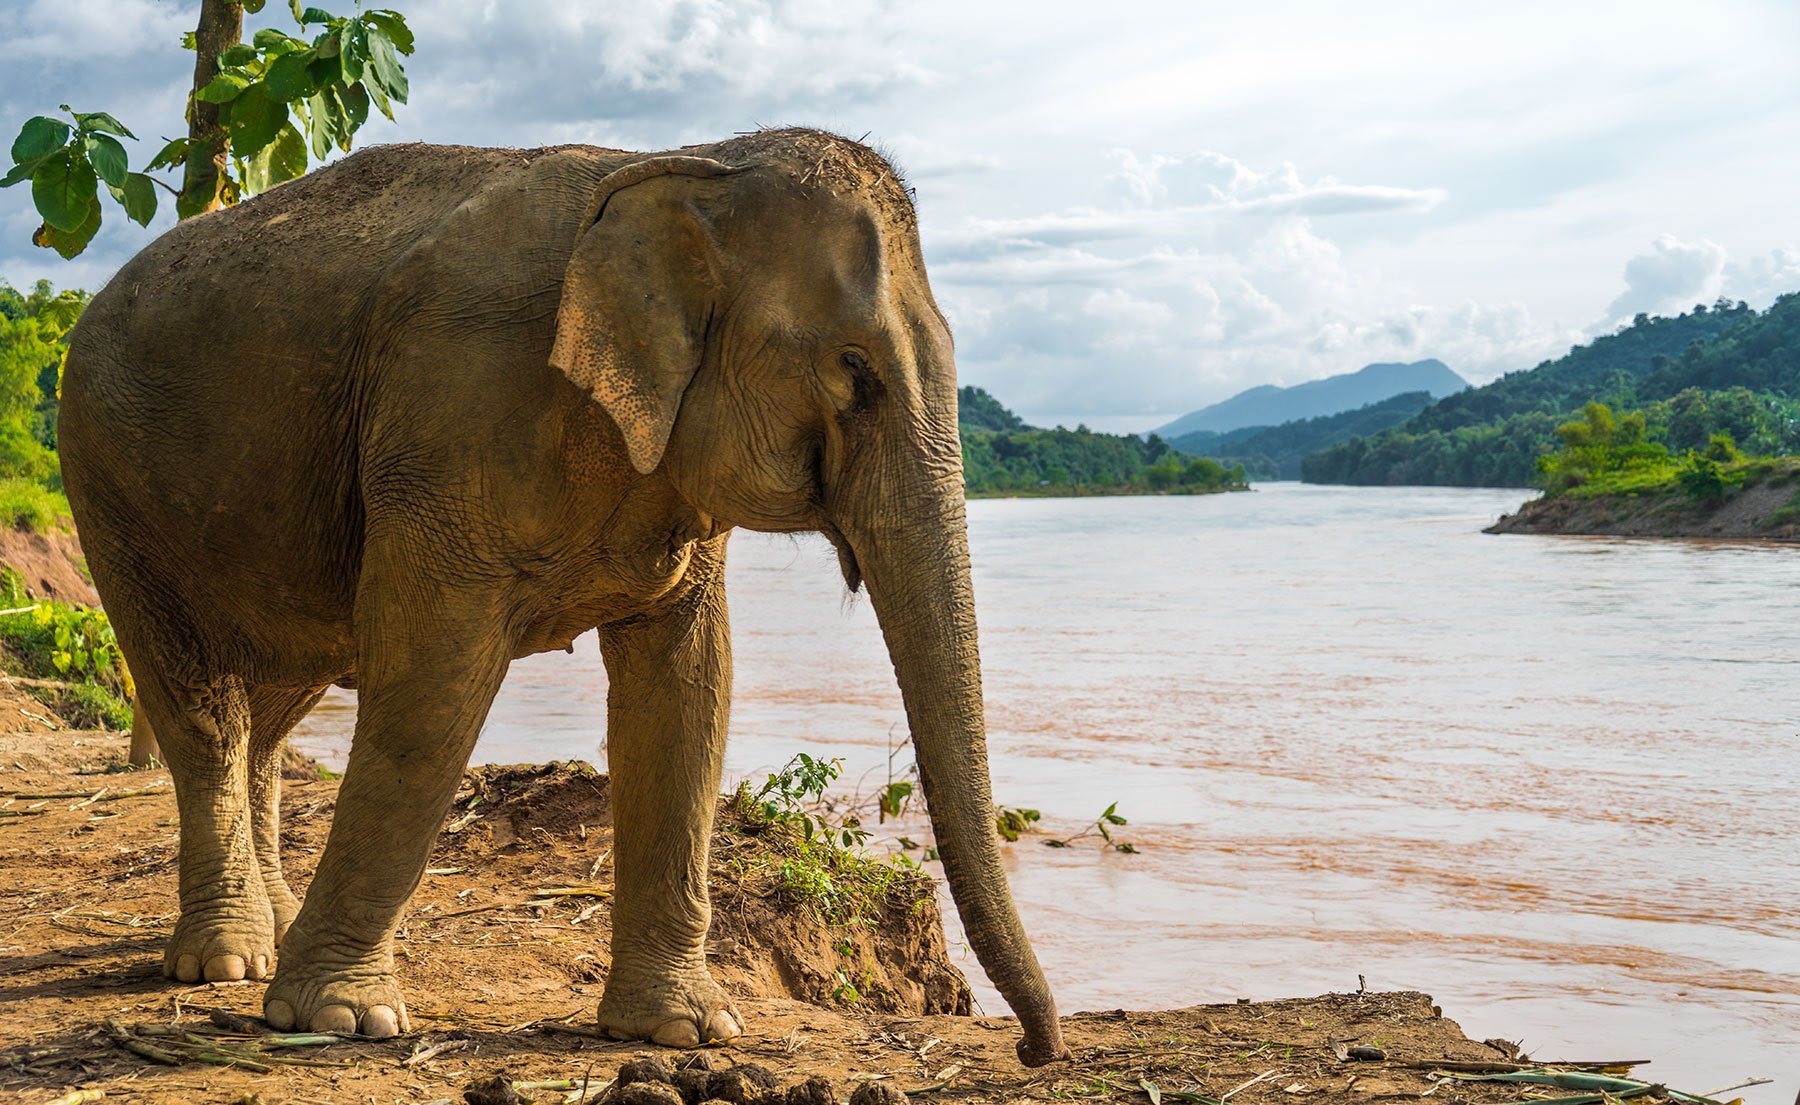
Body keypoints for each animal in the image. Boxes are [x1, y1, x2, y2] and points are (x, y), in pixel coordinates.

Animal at [59, 125, 1065, 1072]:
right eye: (856, 371)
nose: (1033, 1047)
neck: (688, 161)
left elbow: (690, 690)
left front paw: (683, 1030)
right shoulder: (447, 427)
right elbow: (430, 690)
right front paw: (341, 1019)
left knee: (272, 707)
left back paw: (263, 930)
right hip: (106, 484)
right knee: (203, 710)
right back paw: (227, 960)